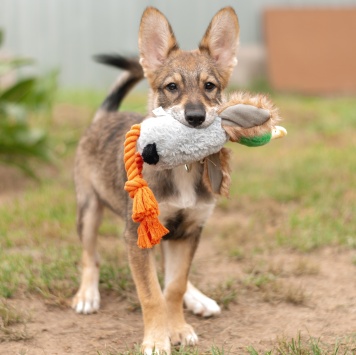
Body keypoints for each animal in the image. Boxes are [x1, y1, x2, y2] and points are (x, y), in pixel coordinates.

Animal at [72, 6, 239, 354]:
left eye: (210, 86)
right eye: (171, 87)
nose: (195, 117)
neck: (182, 170)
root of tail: (104, 116)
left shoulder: (190, 230)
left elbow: (173, 287)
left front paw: (178, 328)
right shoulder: (137, 236)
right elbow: (150, 294)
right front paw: (156, 339)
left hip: (170, 233)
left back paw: (197, 298)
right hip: (89, 209)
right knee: (90, 256)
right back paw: (87, 294)